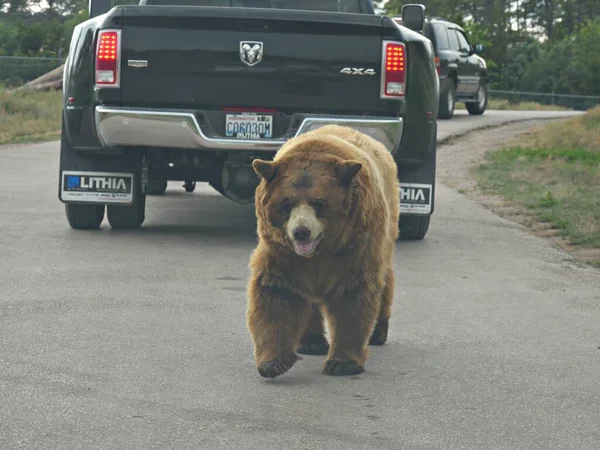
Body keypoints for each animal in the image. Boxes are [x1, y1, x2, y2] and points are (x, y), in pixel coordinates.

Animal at [244, 124, 398, 380]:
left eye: (319, 202)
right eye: (287, 203)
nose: (301, 232)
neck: (320, 251)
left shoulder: (354, 246)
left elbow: (353, 295)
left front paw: (342, 363)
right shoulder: (282, 253)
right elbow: (275, 293)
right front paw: (274, 362)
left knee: (384, 276)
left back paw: (378, 331)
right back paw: (311, 342)